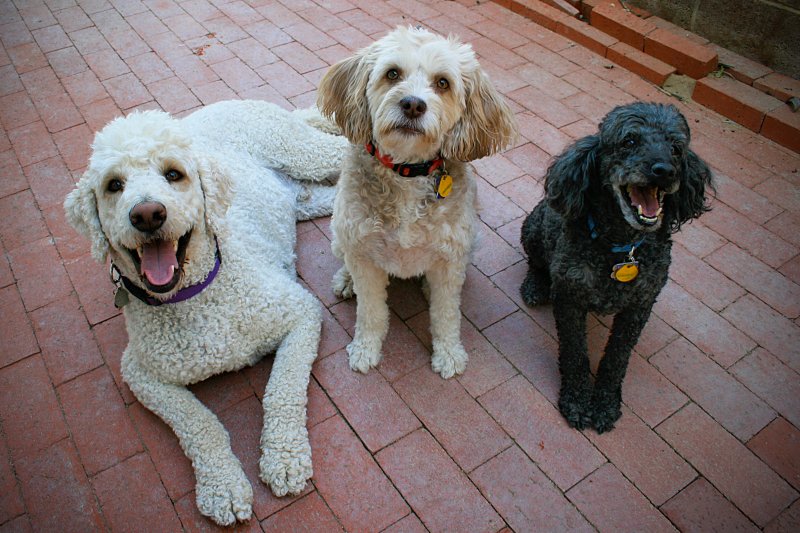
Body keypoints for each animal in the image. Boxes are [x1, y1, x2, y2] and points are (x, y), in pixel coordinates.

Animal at [63, 100, 346, 524]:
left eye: (173, 174)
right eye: (114, 185)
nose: (147, 214)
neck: (193, 300)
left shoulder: (300, 313)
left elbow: (282, 390)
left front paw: (283, 457)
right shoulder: (140, 372)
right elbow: (198, 423)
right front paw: (222, 487)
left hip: (304, 152)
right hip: (307, 198)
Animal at [318, 27, 520, 378]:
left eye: (443, 83)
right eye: (392, 74)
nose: (413, 105)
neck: (407, 172)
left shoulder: (451, 257)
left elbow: (447, 315)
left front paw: (449, 354)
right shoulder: (363, 252)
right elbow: (370, 311)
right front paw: (365, 348)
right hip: (339, 236)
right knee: (346, 261)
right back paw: (346, 280)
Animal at [524, 103, 712, 432]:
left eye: (676, 148)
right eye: (629, 141)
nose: (664, 170)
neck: (622, 246)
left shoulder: (639, 306)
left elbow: (617, 357)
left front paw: (604, 403)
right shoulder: (570, 298)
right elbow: (575, 353)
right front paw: (577, 400)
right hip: (534, 228)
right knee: (536, 263)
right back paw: (534, 285)